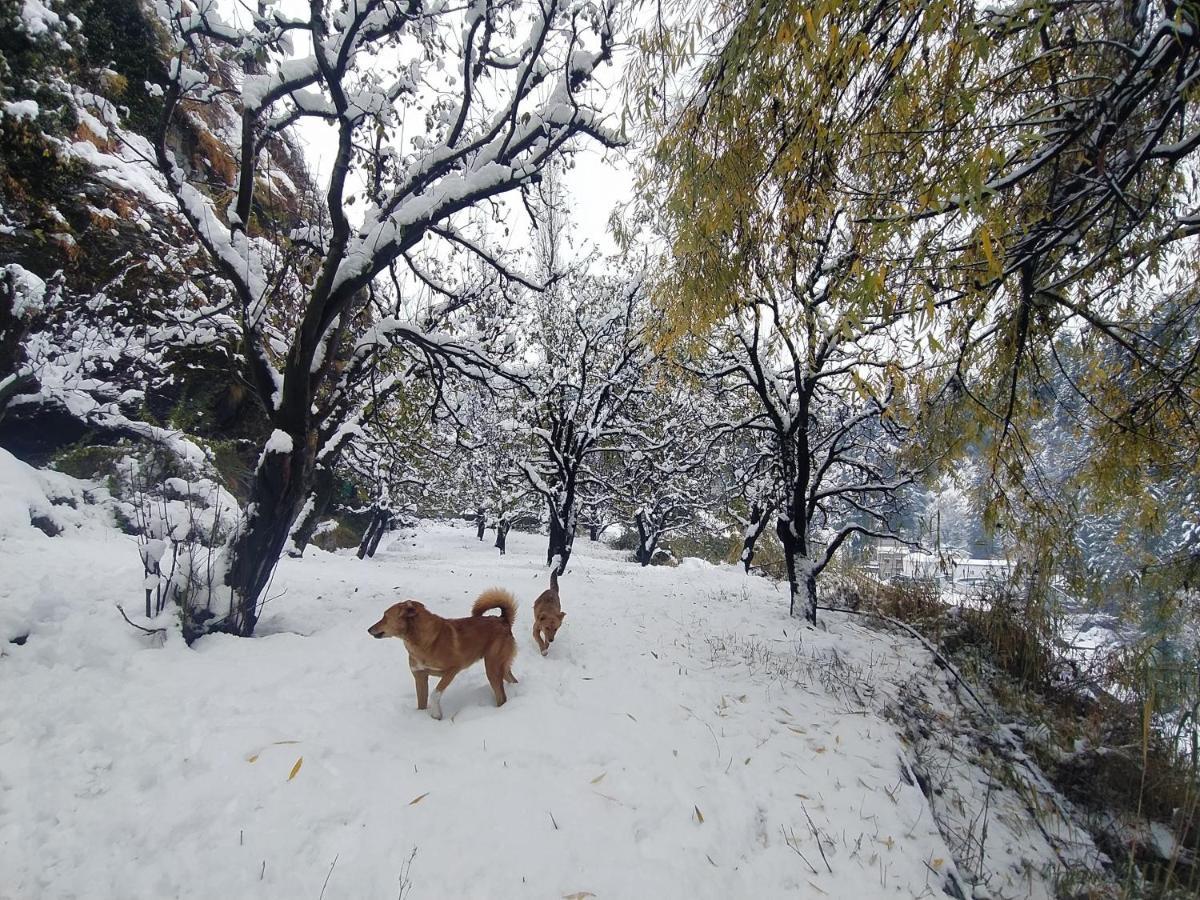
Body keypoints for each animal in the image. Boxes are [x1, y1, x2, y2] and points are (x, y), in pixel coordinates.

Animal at [364, 588, 516, 724]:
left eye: (385, 616)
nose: (368, 630)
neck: (422, 641)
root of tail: (503, 619)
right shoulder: (420, 677)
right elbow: (421, 703)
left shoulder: (452, 670)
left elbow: (435, 694)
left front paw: (436, 714)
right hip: (500, 666)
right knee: (511, 680)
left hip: (492, 667)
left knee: (502, 697)